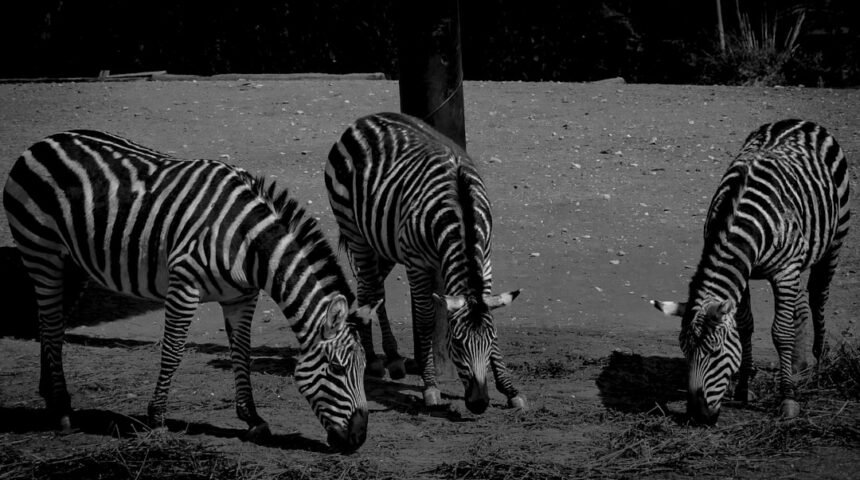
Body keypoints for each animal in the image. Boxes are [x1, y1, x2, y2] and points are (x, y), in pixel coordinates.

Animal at [2, 130, 377, 452]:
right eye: (337, 369)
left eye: (363, 370)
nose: (359, 439)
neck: (248, 242)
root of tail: (45, 141)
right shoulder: (184, 285)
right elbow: (172, 351)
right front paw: (157, 419)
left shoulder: (241, 297)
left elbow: (242, 353)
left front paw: (252, 420)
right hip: (41, 252)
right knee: (51, 321)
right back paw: (63, 412)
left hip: (73, 264)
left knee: (52, 325)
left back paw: (51, 396)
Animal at [325, 112, 527, 413]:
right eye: (456, 344)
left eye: (490, 342)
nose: (480, 404)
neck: (462, 216)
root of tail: (363, 120)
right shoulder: (417, 263)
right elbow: (424, 320)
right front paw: (430, 386)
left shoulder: (485, 260)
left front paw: (509, 388)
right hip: (354, 230)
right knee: (369, 289)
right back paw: (373, 359)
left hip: (382, 241)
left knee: (371, 289)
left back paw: (392, 357)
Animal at [652, 119, 850, 424]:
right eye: (684, 351)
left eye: (715, 352)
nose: (697, 417)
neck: (738, 218)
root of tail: (797, 121)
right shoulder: (742, 274)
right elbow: (746, 325)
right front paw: (744, 388)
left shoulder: (784, 271)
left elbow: (781, 332)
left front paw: (788, 399)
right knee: (800, 305)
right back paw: (798, 365)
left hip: (836, 237)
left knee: (818, 296)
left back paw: (817, 364)